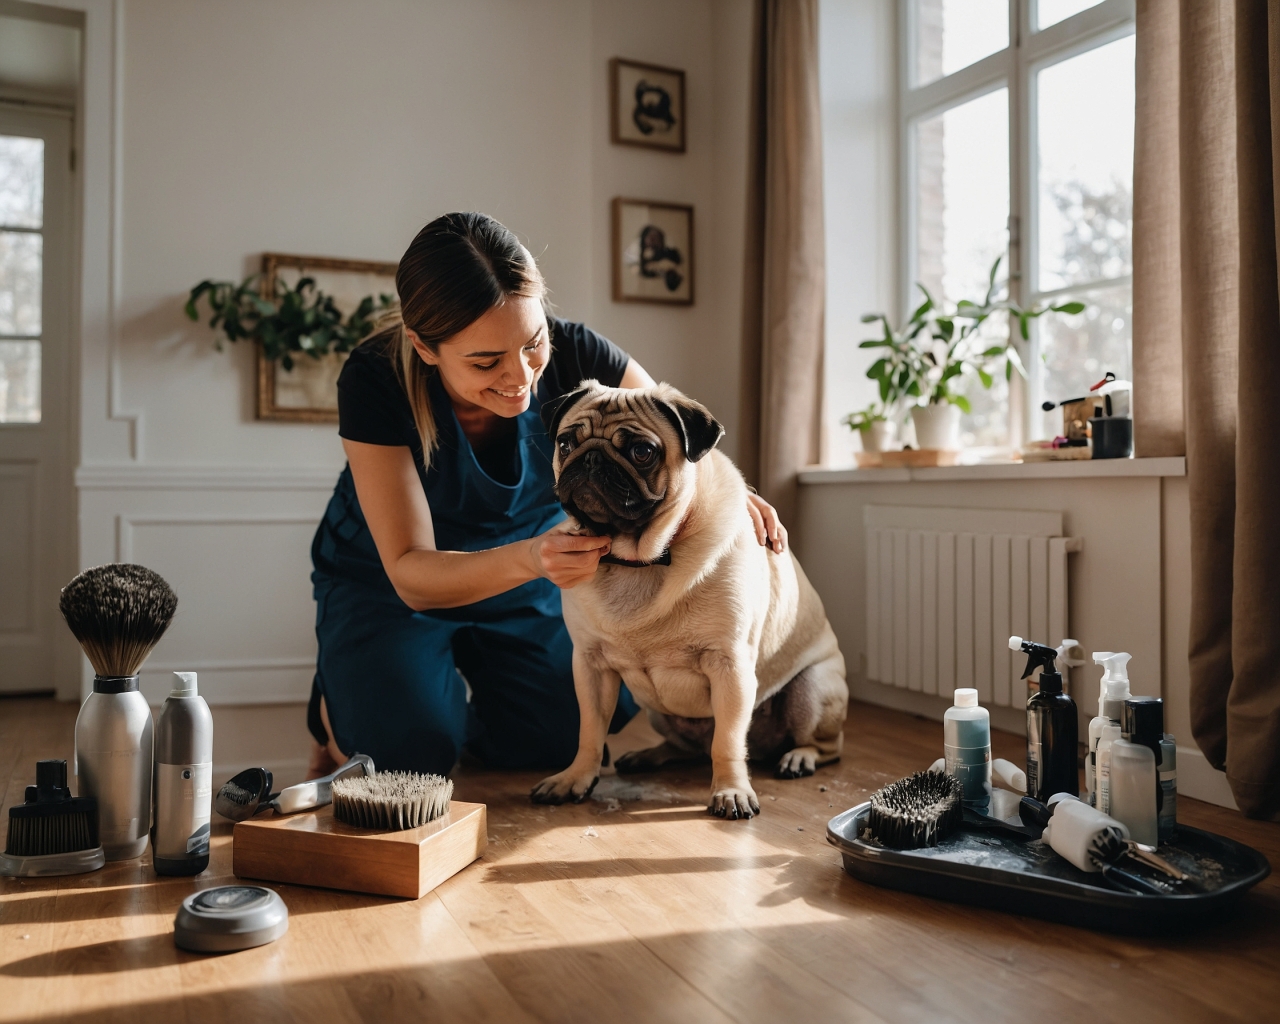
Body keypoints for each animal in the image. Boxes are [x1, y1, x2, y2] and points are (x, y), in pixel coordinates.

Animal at [529, 378, 849, 819]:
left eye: (642, 452)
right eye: (565, 443)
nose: (591, 458)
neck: (639, 560)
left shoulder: (730, 666)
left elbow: (728, 742)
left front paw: (731, 790)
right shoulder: (590, 666)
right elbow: (590, 731)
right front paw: (575, 778)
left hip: (811, 692)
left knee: (824, 746)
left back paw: (799, 757)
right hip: (658, 712)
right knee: (689, 747)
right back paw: (650, 755)